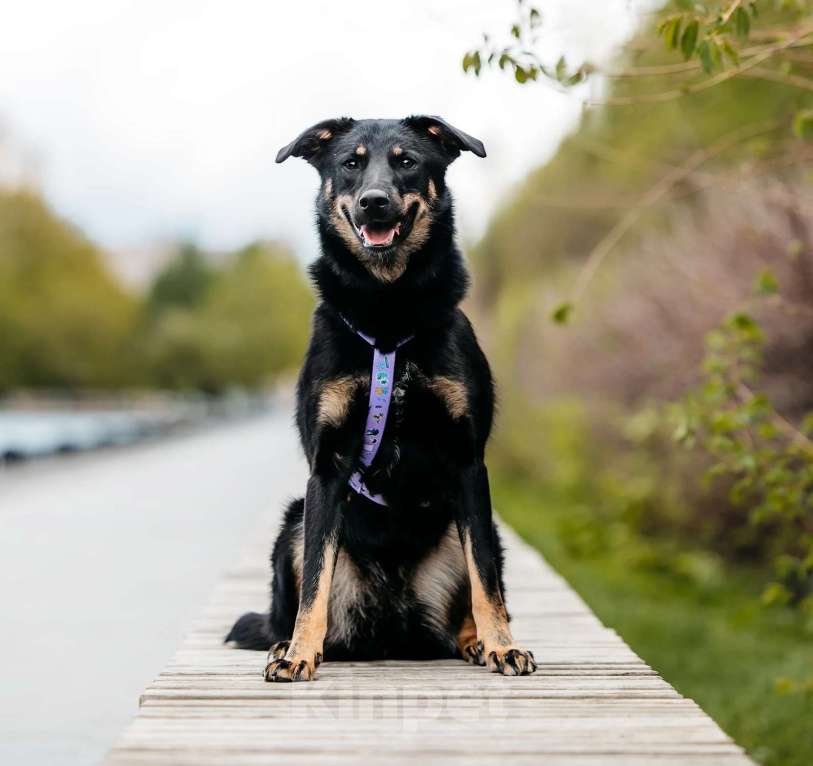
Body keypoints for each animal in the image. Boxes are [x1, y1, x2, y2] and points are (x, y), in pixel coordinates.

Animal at [225, 115, 536, 684]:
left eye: (406, 161)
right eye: (351, 163)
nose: (375, 201)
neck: (390, 313)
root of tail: (393, 626)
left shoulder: (468, 464)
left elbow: (485, 577)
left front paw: (503, 645)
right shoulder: (326, 468)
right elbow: (314, 581)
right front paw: (300, 653)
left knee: (471, 592)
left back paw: (474, 642)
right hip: (294, 523)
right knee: (303, 604)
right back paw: (289, 643)